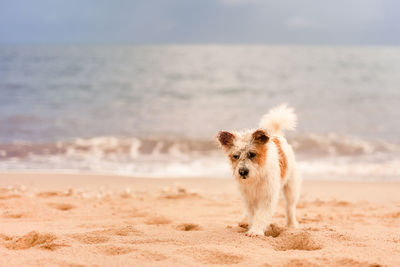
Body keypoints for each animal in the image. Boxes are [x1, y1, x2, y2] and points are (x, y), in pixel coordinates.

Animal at [219, 103, 300, 238]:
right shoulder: (248, 197)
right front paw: (251, 226)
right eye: (235, 156)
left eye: (252, 154)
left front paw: (255, 231)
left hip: (291, 187)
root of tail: (277, 135)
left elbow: (261, 215)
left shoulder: (268, 196)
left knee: (290, 207)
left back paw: (292, 225)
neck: (256, 177)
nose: (242, 172)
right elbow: (252, 214)